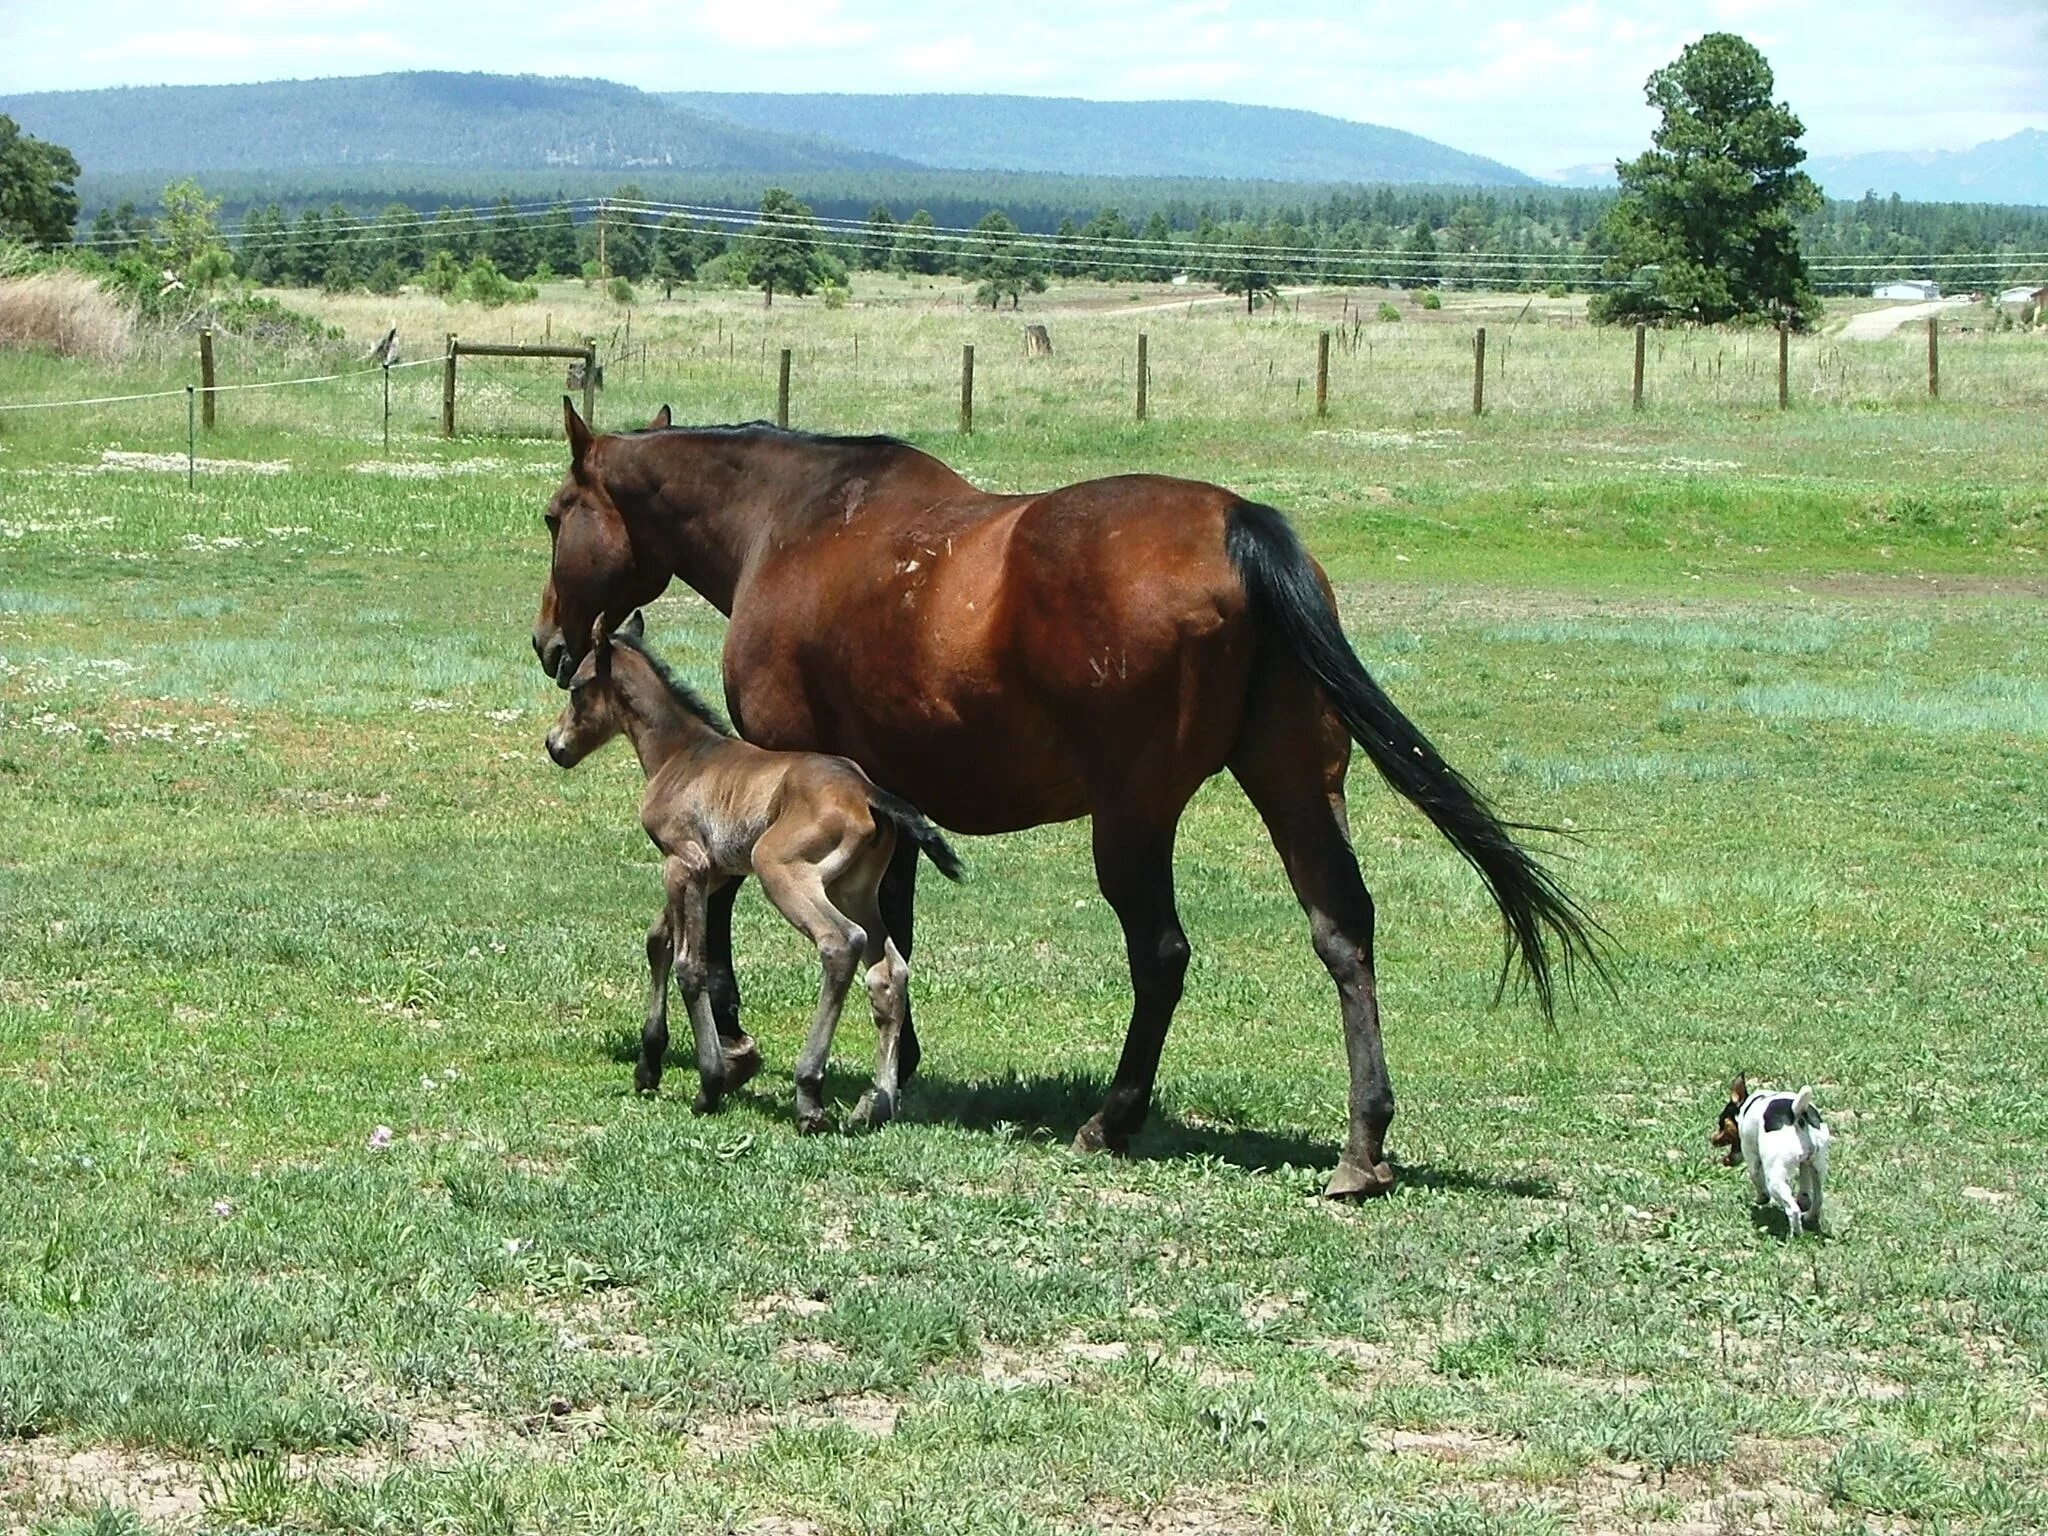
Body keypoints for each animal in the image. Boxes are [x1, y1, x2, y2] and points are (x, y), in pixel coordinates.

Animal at [540, 614, 962, 1130]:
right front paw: (648, 1064)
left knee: (841, 943)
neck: (680, 755)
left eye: (576, 687)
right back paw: (877, 1102)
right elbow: (658, 941)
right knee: (888, 970)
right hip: (856, 889)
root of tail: (867, 792)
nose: (554, 746)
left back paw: (809, 1094)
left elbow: (689, 965)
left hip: (781, 870)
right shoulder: (714, 873)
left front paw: (709, 1083)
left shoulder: (684, 863)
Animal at [1712, 1081, 1826, 1236]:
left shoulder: (1751, 1154)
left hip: (1774, 1180)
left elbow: (1756, 1179)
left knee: (1792, 1210)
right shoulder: (1805, 1162)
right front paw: (1804, 1201)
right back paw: (1810, 1217)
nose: (1712, 1139)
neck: (1747, 1106)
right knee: (1818, 1198)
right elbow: (1804, 1185)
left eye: (1721, 1123)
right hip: (1818, 1168)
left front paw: (1761, 1199)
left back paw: (1795, 1235)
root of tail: (1796, 1113)